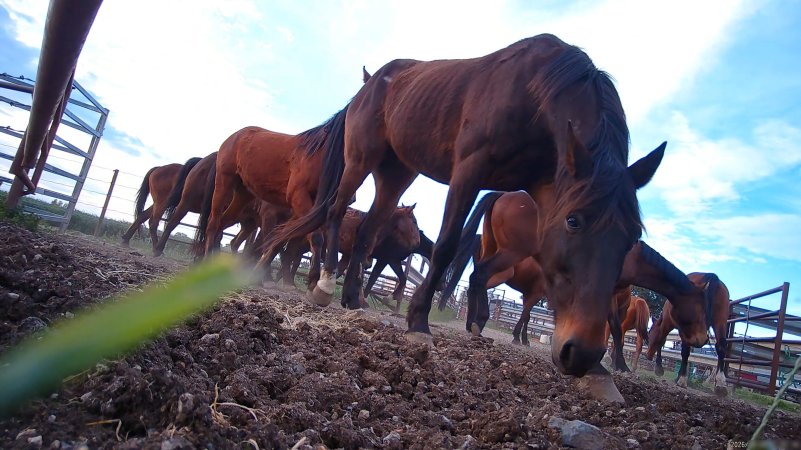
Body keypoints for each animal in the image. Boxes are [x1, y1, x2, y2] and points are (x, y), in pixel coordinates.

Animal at [262, 34, 666, 381]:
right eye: (573, 221)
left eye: (632, 237)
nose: (581, 353)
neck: (537, 92)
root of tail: (370, 82)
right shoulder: (468, 172)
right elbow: (446, 247)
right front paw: (418, 321)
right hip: (361, 159)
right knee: (335, 212)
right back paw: (325, 283)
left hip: (397, 173)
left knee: (367, 231)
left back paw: (352, 297)